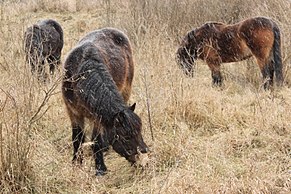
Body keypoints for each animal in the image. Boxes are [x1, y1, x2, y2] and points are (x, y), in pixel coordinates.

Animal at [61, 26, 148, 176]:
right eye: (125, 137)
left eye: (140, 131)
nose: (143, 159)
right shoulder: (73, 113)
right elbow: (77, 138)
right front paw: (76, 163)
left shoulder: (97, 117)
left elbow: (96, 141)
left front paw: (100, 168)